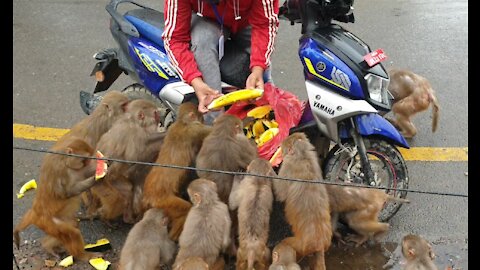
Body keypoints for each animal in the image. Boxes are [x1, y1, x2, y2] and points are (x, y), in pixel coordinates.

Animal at [142, 102, 211, 240]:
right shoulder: (194, 129)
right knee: (184, 209)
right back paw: (173, 237)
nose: (203, 119)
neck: (181, 123)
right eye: (200, 118)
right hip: (164, 202)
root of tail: (149, 196)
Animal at [274, 132, 330, 270]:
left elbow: (280, 192)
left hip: (299, 245)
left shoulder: (288, 165)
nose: (281, 151)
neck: (303, 156)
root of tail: (320, 243)